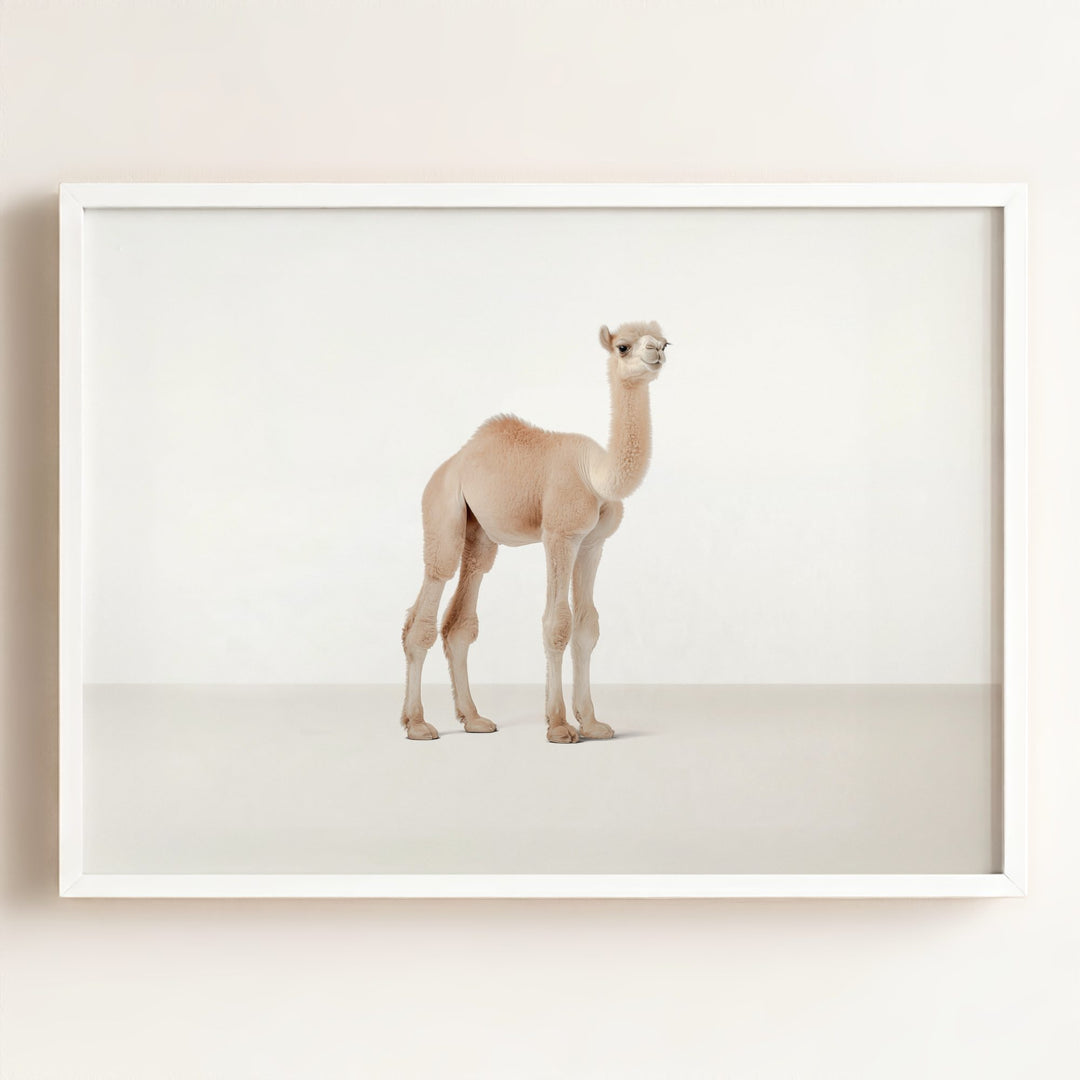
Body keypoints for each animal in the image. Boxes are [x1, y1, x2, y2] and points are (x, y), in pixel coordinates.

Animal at [400, 321, 668, 743]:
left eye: (666, 342)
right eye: (623, 346)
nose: (656, 351)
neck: (596, 475)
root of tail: (451, 464)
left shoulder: (592, 543)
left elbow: (587, 626)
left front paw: (592, 723)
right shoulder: (560, 534)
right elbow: (557, 623)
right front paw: (558, 726)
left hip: (480, 533)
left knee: (461, 615)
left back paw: (474, 718)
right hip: (441, 509)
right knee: (428, 599)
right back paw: (417, 724)